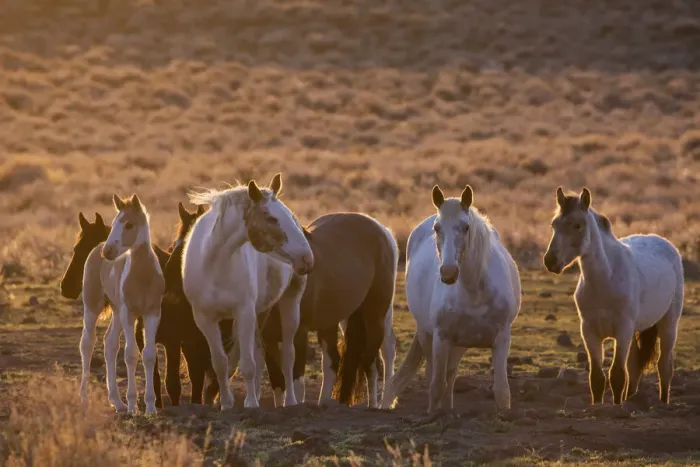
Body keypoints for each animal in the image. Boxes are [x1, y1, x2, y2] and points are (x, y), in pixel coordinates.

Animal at [182, 173, 313, 409]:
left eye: (286, 215)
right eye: (271, 218)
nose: (307, 259)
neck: (215, 265)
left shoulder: (244, 313)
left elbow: (247, 364)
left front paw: (251, 403)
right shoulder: (205, 319)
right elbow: (220, 362)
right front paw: (226, 404)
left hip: (289, 303)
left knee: (288, 356)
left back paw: (290, 401)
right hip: (260, 312)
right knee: (259, 352)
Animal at [259, 213, 398, 408]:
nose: (304, 263)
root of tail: (383, 231)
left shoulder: (300, 333)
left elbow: (297, 379)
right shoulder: (268, 339)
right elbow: (277, 379)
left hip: (376, 313)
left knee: (376, 357)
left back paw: (378, 405)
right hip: (337, 321)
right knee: (336, 361)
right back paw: (326, 402)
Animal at [380, 185, 521, 413]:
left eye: (466, 227)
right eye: (437, 228)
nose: (448, 273)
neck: (474, 292)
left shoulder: (501, 339)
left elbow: (502, 391)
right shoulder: (441, 337)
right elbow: (436, 386)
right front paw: (432, 416)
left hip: (459, 345)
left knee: (451, 376)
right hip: (428, 336)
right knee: (438, 378)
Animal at [543, 187, 684, 405]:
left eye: (578, 225)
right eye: (554, 224)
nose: (550, 261)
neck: (605, 280)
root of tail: (667, 245)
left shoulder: (623, 330)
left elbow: (617, 375)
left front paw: (616, 407)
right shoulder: (589, 332)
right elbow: (597, 378)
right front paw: (599, 406)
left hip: (668, 325)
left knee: (664, 367)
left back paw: (663, 403)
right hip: (636, 330)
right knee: (634, 369)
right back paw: (632, 399)